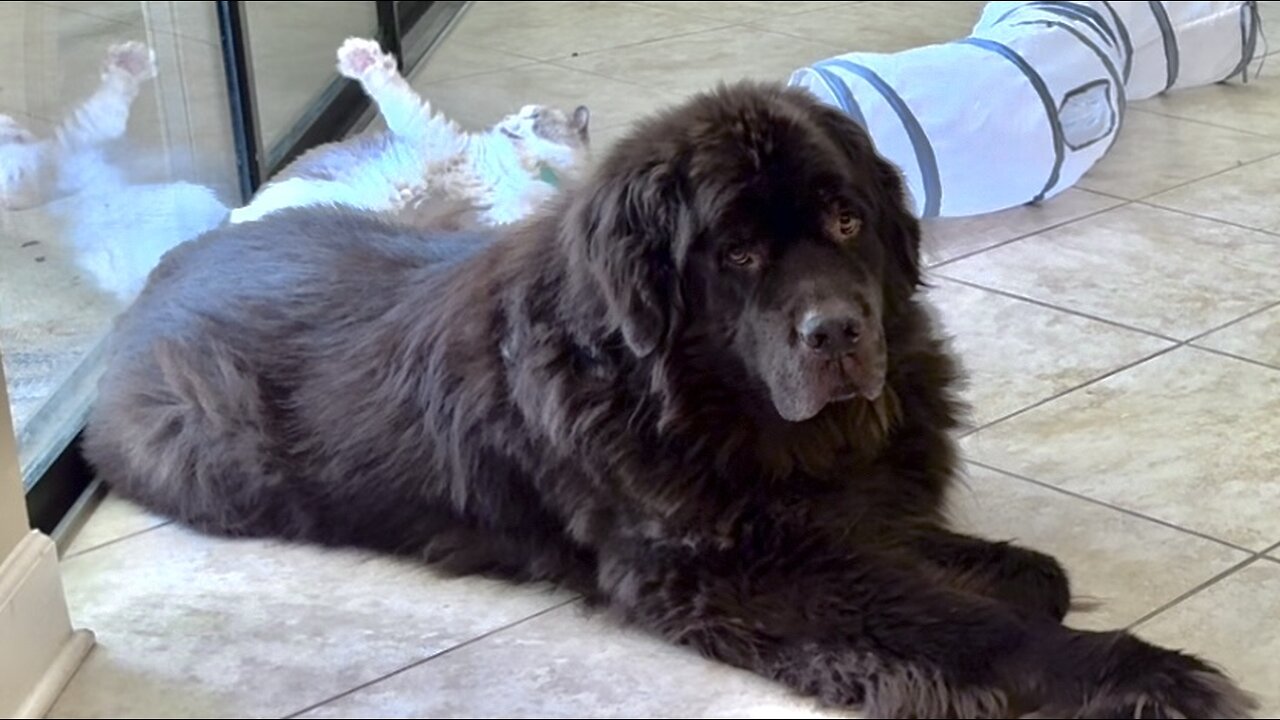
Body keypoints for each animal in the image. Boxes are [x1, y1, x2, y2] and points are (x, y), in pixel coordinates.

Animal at [80, 81, 1249, 712]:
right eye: (735, 253)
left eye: (843, 220)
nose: (838, 331)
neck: (709, 405)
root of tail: (156, 277)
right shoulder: (734, 569)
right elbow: (946, 618)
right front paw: (1141, 674)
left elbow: (978, 559)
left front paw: (999, 565)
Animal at [230, 37, 588, 226]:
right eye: (520, 113)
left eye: (534, 115)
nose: (507, 119)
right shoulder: (437, 141)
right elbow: (393, 90)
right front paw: (359, 57)